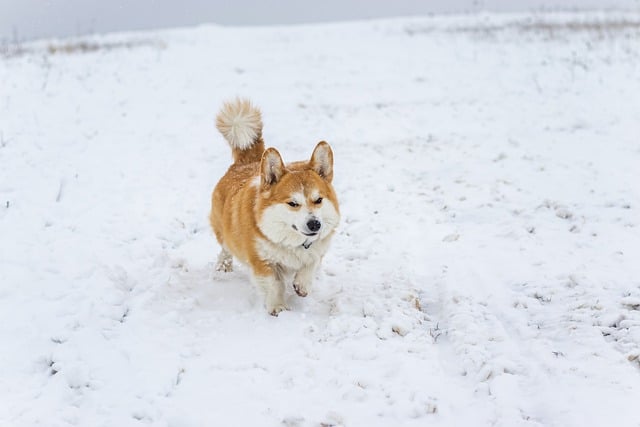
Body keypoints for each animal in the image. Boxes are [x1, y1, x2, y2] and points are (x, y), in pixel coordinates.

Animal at [209, 98, 340, 316]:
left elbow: (310, 264)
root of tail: (247, 161)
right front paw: (278, 308)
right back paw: (223, 266)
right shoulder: (261, 261)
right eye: (293, 203)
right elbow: (273, 285)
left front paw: (302, 286)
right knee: (225, 247)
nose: (315, 225)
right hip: (223, 230)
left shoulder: (318, 249)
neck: (293, 241)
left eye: (318, 200)